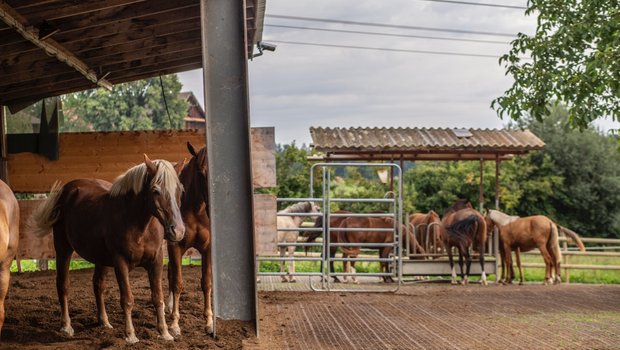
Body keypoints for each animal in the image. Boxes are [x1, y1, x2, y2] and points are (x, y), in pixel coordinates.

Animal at [30, 155, 184, 342]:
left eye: (180, 190)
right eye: (155, 190)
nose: (178, 231)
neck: (139, 224)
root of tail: (66, 190)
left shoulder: (156, 261)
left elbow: (157, 297)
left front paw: (164, 332)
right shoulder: (120, 262)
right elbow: (127, 299)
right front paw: (130, 335)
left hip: (100, 258)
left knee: (98, 285)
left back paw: (104, 322)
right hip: (63, 249)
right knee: (63, 284)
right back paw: (66, 326)